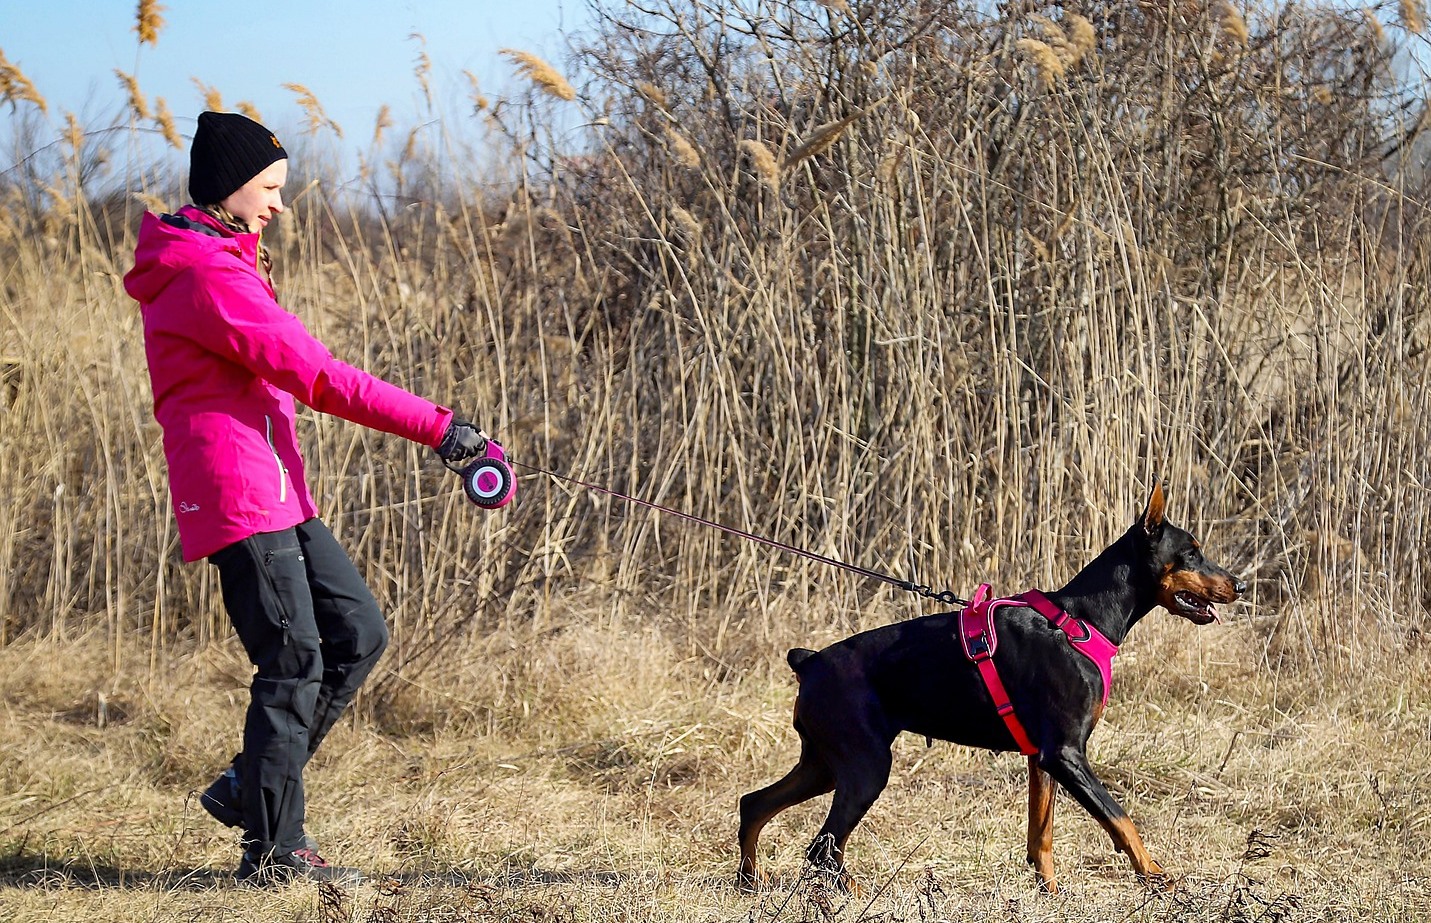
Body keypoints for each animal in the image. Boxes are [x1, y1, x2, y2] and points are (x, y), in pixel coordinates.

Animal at [738, 483, 1242, 892]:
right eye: (1191, 551)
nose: (1238, 584)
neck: (1082, 620)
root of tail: (810, 661)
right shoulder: (1066, 753)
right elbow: (1120, 818)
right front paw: (1156, 876)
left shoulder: (1044, 759)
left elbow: (1041, 835)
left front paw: (1050, 892)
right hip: (865, 768)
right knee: (821, 847)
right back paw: (853, 893)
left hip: (825, 765)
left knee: (754, 805)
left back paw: (751, 880)